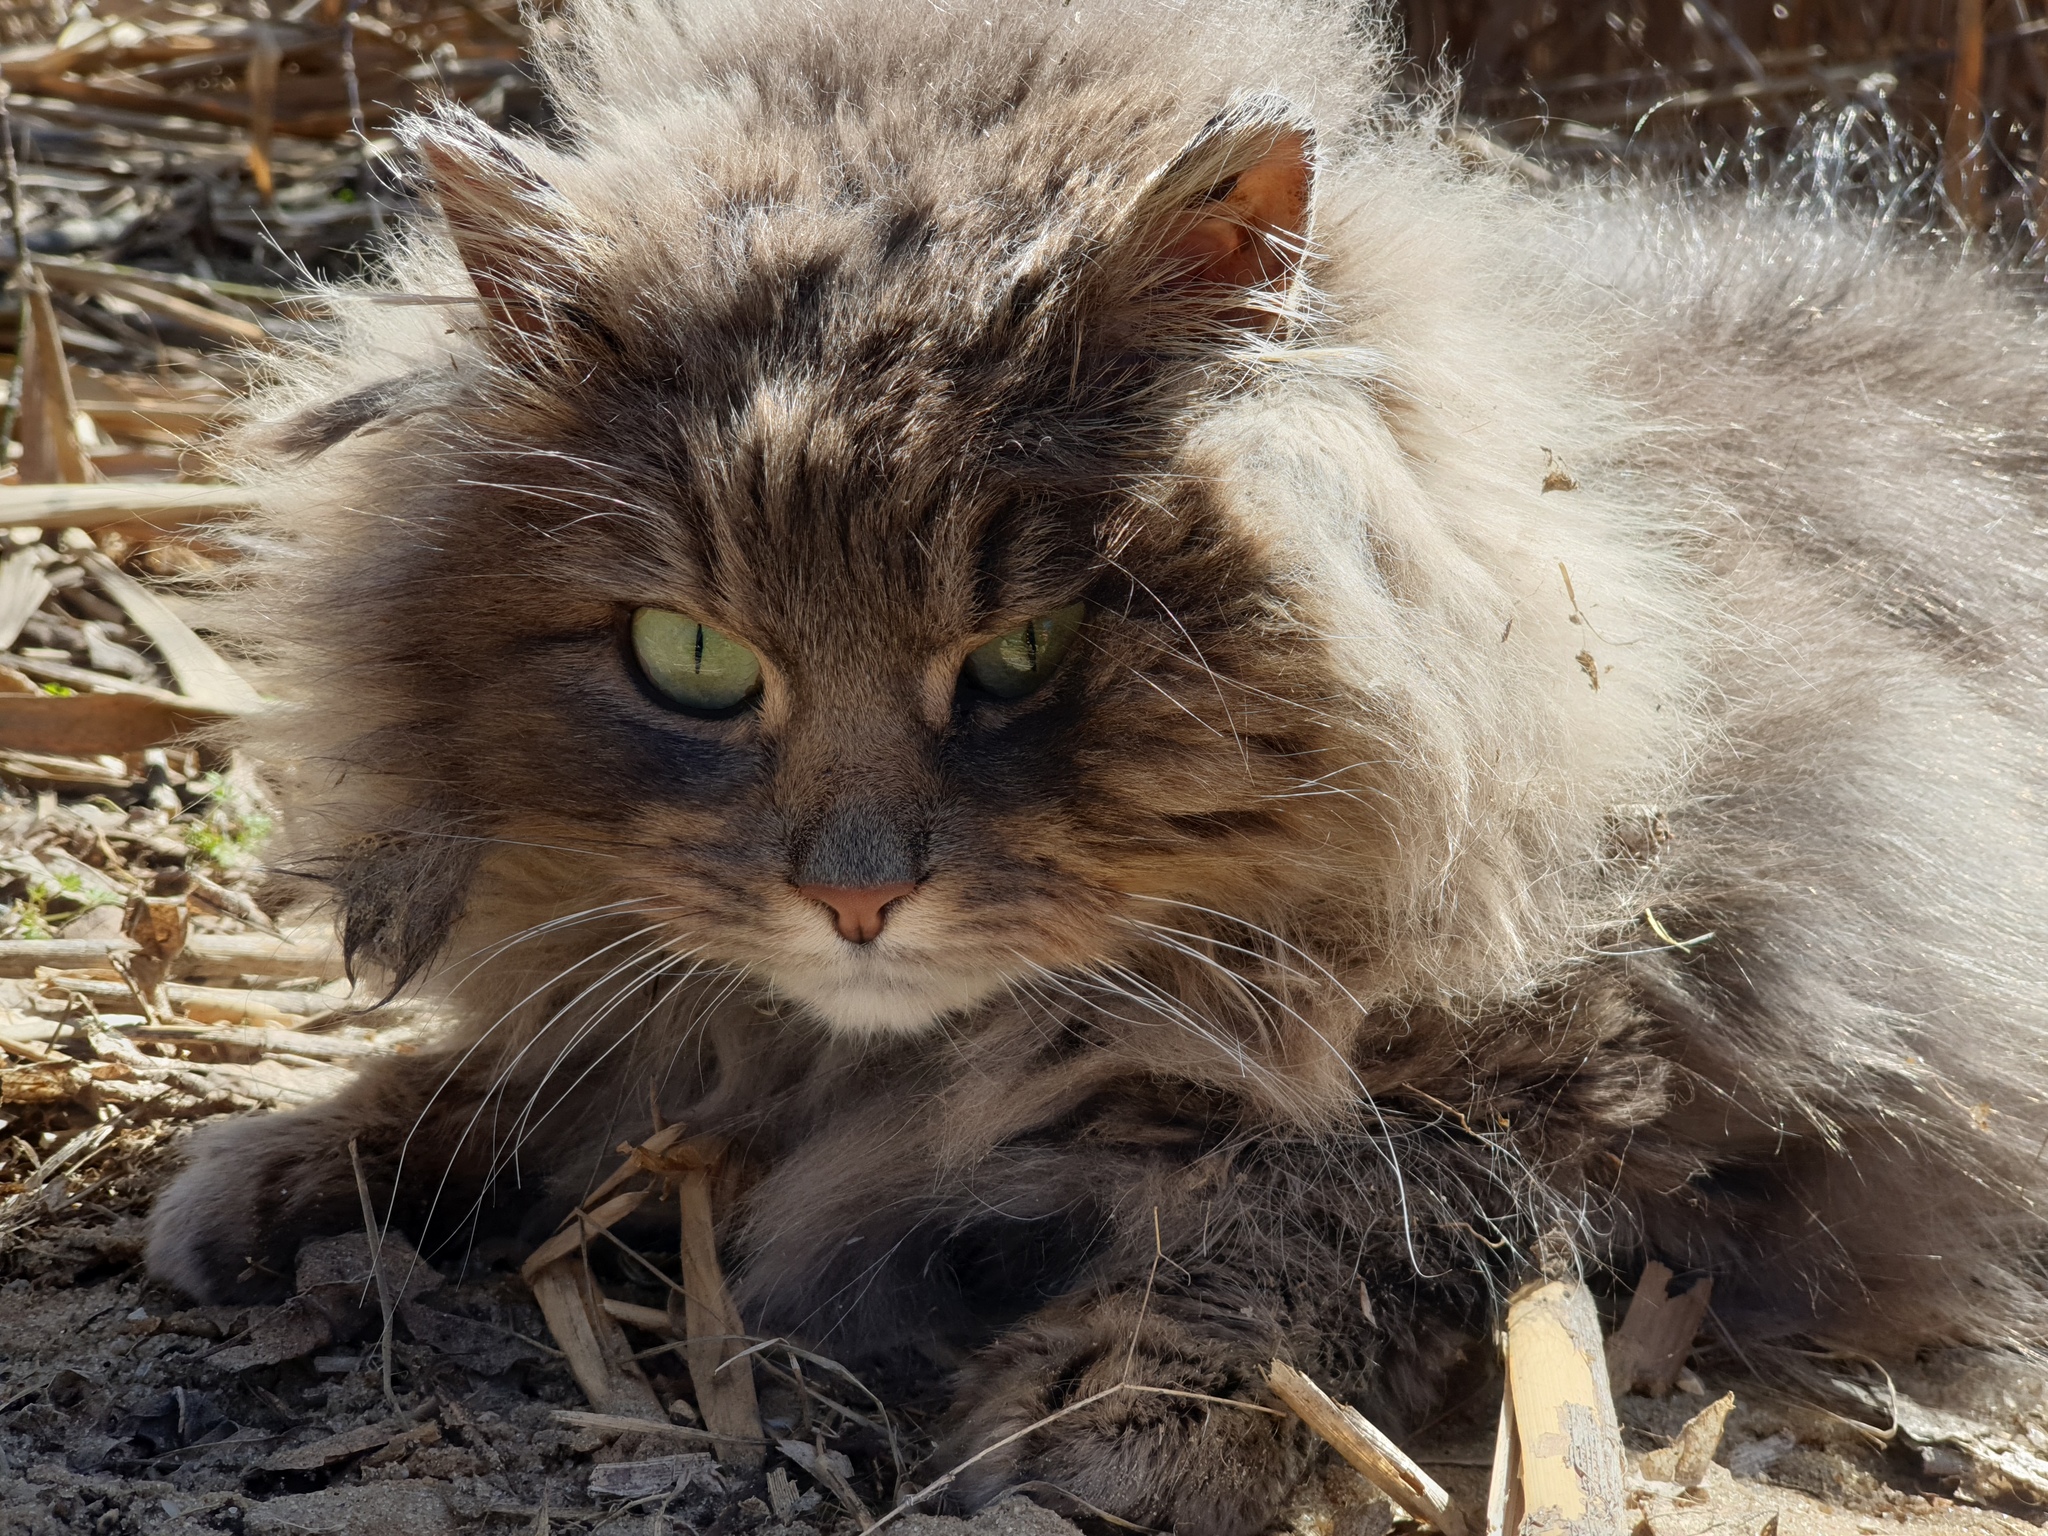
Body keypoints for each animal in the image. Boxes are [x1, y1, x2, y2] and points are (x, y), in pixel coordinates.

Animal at [140, 6, 2048, 1531]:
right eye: (689, 662)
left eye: (1020, 658)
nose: (853, 899)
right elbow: (562, 1079)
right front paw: (295, 1173)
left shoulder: (1654, 1049)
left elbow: (1317, 1204)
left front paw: (1126, 1417)